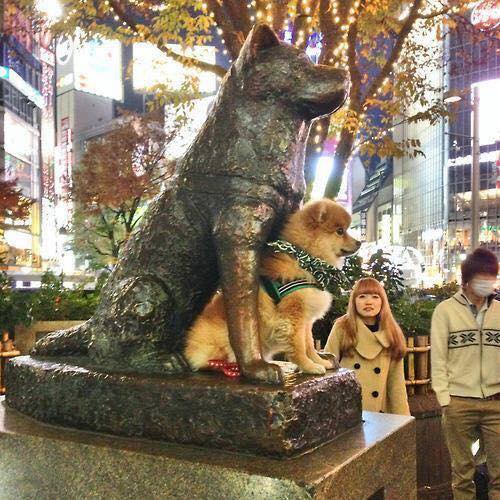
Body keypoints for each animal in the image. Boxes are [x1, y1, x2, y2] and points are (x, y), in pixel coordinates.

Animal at [186, 199, 362, 376]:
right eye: (340, 231)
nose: (359, 242)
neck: (307, 261)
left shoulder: (306, 320)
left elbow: (310, 344)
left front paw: (319, 361)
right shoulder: (292, 317)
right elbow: (299, 347)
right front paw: (308, 366)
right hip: (223, 336)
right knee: (205, 362)